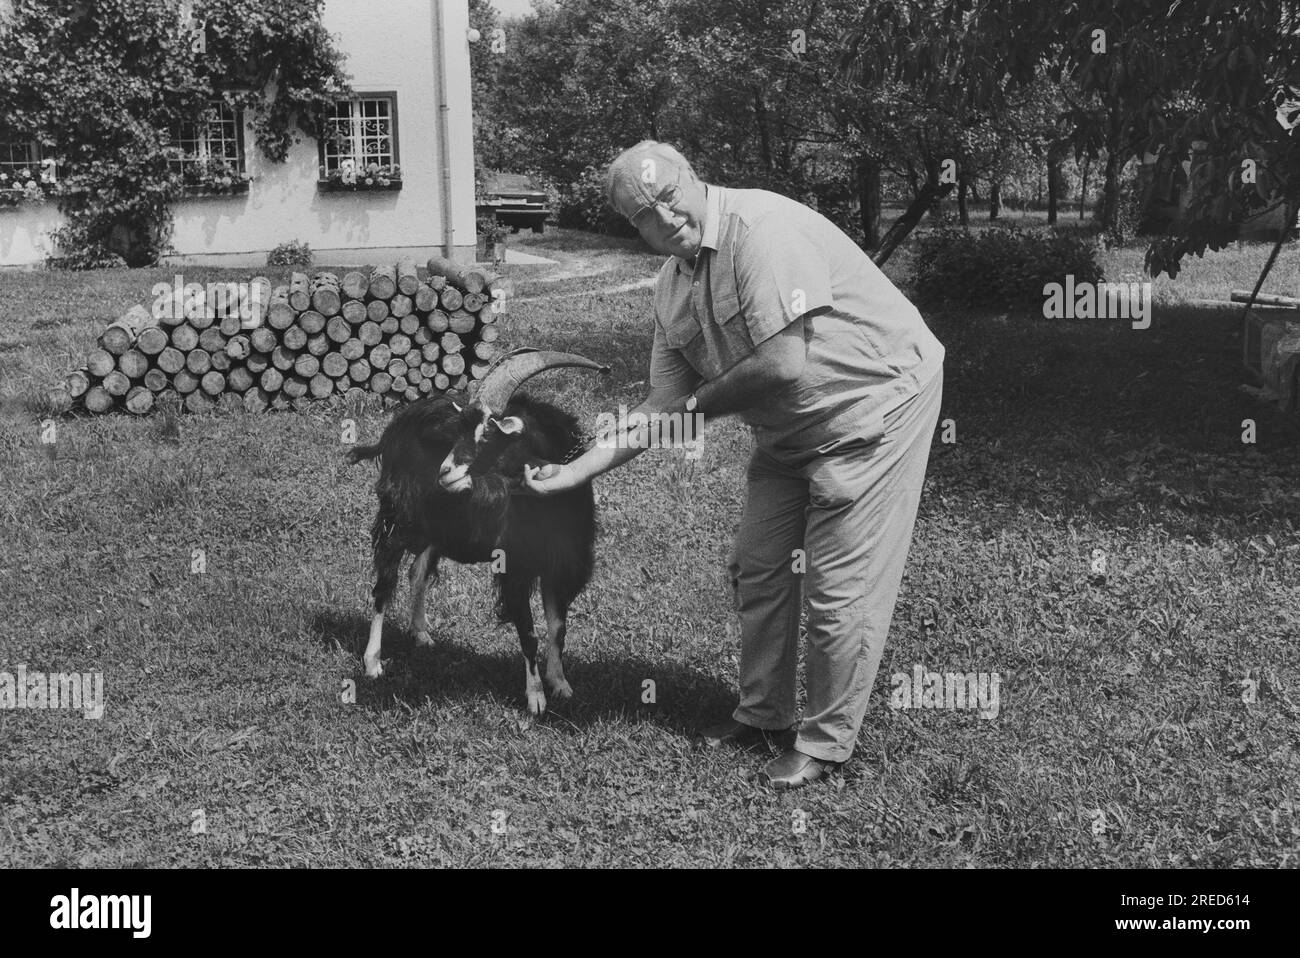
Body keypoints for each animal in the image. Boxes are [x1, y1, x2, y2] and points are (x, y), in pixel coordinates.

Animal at [345, 348, 608, 712]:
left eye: (490, 431)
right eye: (461, 429)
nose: (444, 472)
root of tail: (397, 425)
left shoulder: (562, 564)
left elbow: (557, 628)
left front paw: (560, 683)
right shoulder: (516, 567)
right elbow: (529, 633)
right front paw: (536, 697)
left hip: (438, 525)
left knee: (417, 571)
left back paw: (421, 633)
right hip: (399, 517)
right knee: (384, 584)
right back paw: (373, 663)